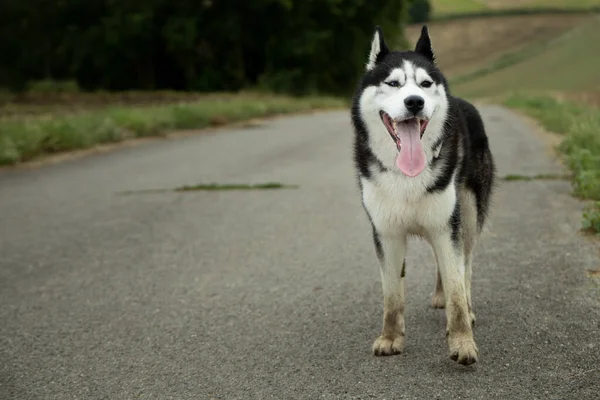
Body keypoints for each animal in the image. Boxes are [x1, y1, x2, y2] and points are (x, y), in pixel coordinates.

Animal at [350, 25, 494, 366]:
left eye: (426, 84)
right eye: (393, 83)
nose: (415, 102)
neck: (407, 175)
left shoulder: (446, 226)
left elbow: (456, 286)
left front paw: (462, 342)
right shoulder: (387, 233)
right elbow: (392, 295)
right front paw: (390, 338)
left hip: (469, 214)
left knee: (466, 265)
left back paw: (467, 308)